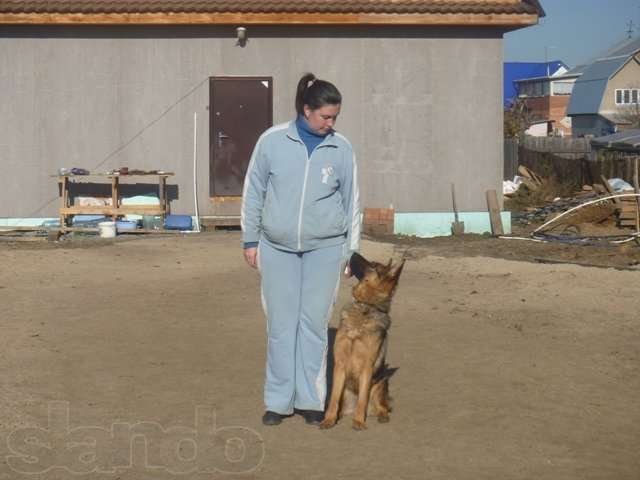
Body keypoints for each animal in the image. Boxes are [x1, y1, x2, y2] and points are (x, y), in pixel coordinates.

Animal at [320, 253, 404, 430]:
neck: (365, 306)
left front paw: (359, 421)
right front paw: (329, 419)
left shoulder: (367, 367)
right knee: (340, 403)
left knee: (381, 406)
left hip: (381, 383)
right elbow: (333, 399)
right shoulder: (340, 364)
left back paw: (381, 415)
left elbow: (362, 399)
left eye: (372, 265)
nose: (352, 253)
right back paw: (339, 414)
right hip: (347, 390)